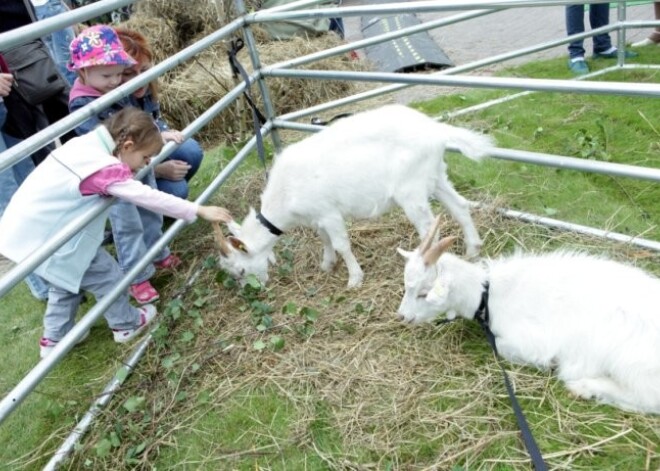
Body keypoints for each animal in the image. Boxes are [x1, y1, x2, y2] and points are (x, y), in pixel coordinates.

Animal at [217, 104, 496, 288]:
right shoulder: (317, 217)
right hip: (436, 175)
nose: (255, 289)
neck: (285, 195)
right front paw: (327, 264)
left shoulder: (329, 213)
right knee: (459, 206)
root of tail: (434, 130)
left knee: (429, 228)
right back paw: (473, 249)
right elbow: (325, 240)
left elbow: (341, 244)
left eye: (241, 269)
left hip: (411, 189)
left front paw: (354, 279)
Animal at [398, 221, 660, 412]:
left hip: (630, 361)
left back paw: (584, 387)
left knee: (647, 399)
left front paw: (549, 363)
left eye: (423, 293)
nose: (402, 317)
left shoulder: (532, 339)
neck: (489, 293)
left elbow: (502, 347)